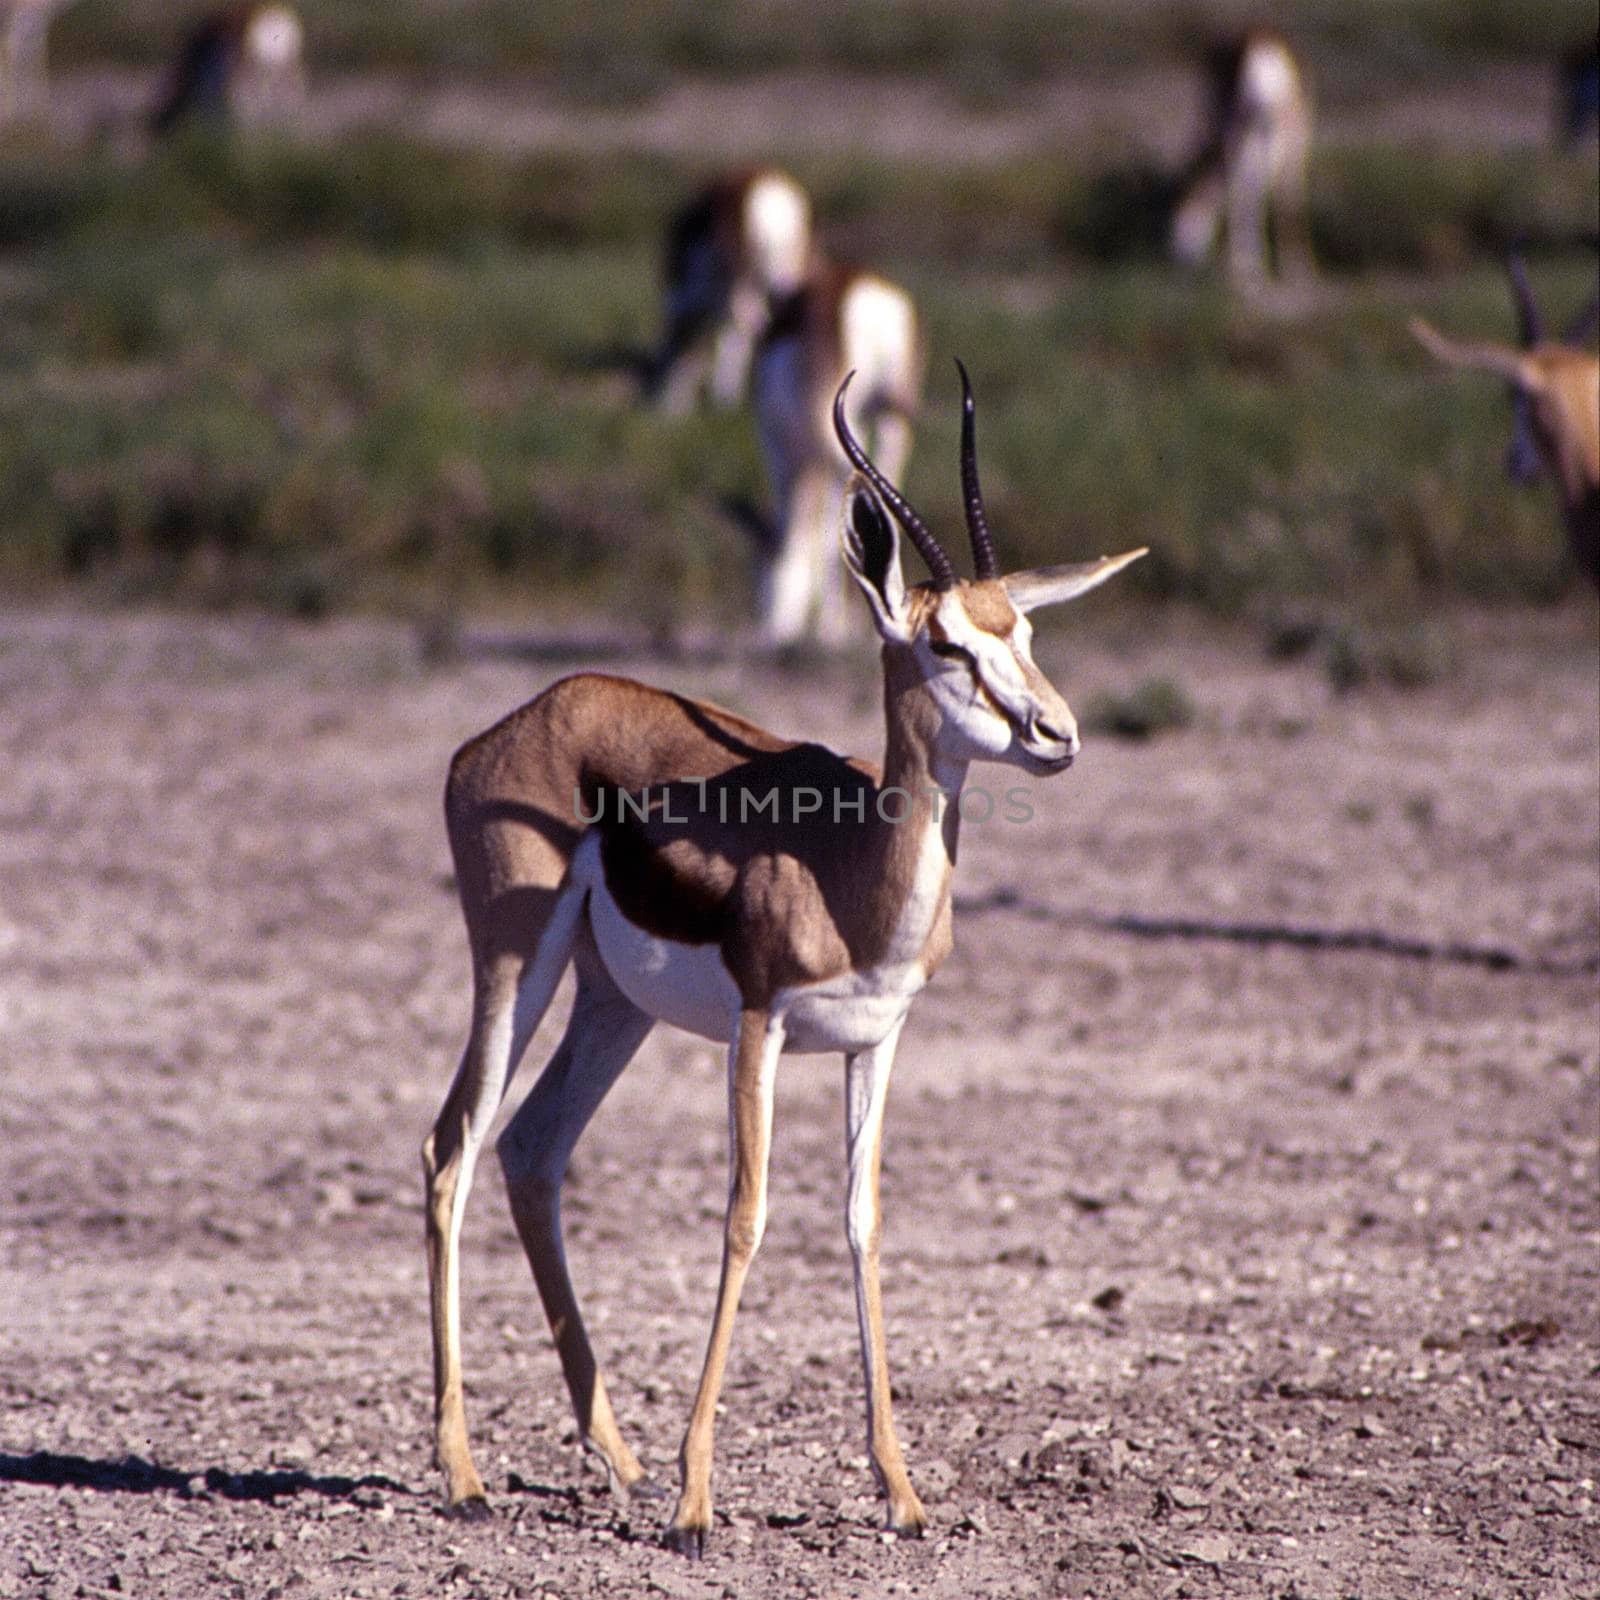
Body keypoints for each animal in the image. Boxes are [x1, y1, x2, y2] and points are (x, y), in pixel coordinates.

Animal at [640, 168, 812, 416]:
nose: (660, 406)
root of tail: (769, 195)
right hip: (782, 277)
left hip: (741, 285)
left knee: (747, 324)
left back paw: (727, 397)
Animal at [1177, 30, 1312, 284]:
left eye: (1183, 198)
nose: (1178, 253)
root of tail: (1263, 47)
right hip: (1285, 133)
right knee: (1285, 195)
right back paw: (1294, 270)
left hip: (1243, 133)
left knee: (1242, 190)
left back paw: (1244, 269)